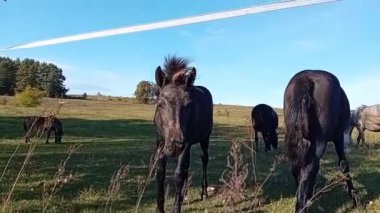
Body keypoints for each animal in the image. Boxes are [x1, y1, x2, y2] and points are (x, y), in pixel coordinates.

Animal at [154, 55, 214, 213]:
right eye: (160, 104)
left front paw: (176, 207)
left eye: (188, 105)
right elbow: (160, 173)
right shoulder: (160, 143)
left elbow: (179, 174)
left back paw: (204, 193)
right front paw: (160, 208)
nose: (175, 145)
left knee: (204, 160)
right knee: (187, 166)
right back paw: (184, 194)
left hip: (204, 140)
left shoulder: (186, 144)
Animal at [284, 70, 358, 212]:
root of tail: (306, 78)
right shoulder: (338, 137)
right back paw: (301, 207)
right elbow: (343, 164)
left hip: (297, 140)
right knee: (308, 169)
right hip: (320, 142)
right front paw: (355, 198)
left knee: (298, 167)